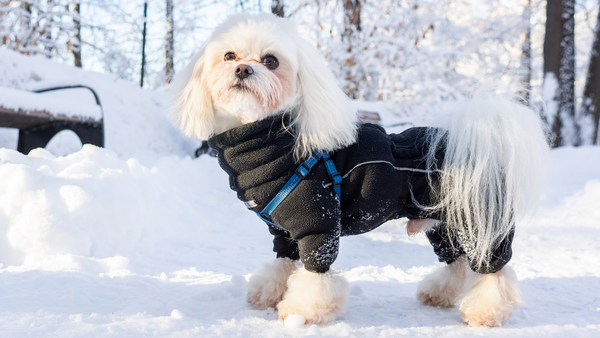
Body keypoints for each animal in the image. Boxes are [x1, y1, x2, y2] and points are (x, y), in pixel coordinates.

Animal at [168, 13, 548, 328]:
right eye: (229, 56)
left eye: (271, 61)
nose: (243, 70)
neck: (271, 139)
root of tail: (478, 142)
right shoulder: (283, 233)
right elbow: (282, 264)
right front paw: (268, 294)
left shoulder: (318, 226)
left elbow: (315, 275)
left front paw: (303, 312)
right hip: (444, 226)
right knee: (455, 263)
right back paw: (438, 294)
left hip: (480, 223)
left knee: (493, 272)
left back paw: (486, 312)